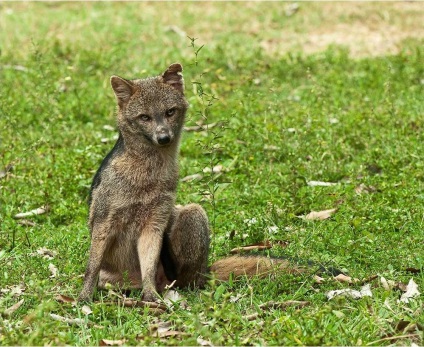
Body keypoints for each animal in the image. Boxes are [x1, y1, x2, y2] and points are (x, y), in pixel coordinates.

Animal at [78, 64, 332, 304]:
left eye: (170, 112)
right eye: (144, 117)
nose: (163, 138)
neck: (145, 178)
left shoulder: (154, 224)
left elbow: (148, 269)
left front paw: (150, 296)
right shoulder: (104, 221)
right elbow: (92, 267)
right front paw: (84, 296)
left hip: (193, 212)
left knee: (186, 282)